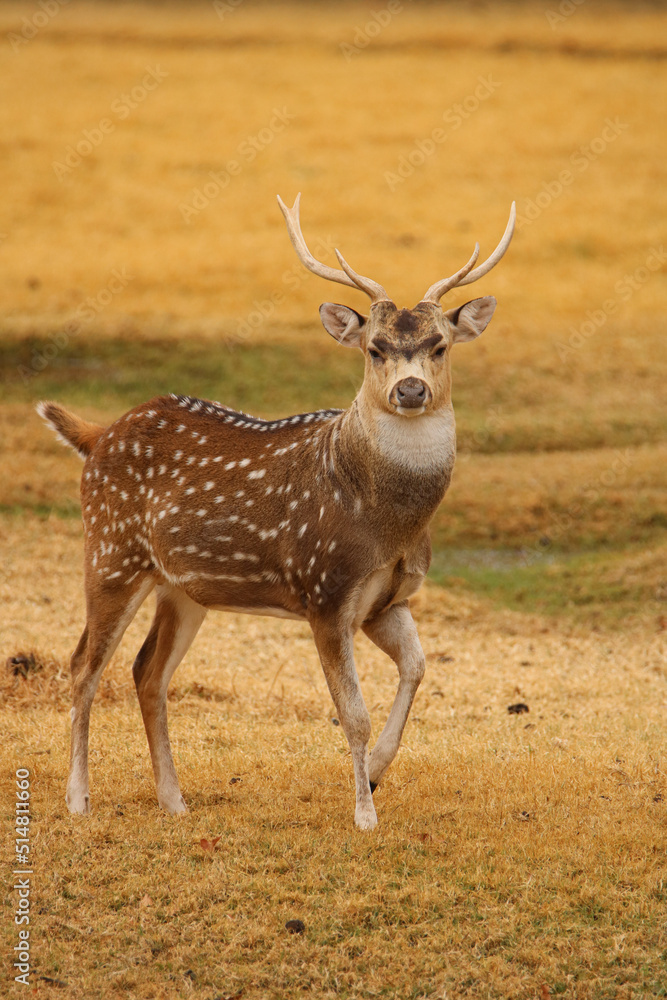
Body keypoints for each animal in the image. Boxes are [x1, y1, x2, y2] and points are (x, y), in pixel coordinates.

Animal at [38, 194, 514, 830]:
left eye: (440, 345)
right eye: (375, 349)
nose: (410, 391)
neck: (387, 523)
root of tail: (95, 436)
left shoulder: (386, 600)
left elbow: (418, 668)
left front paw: (378, 771)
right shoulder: (325, 588)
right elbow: (353, 713)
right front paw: (364, 814)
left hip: (183, 587)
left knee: (146, 671)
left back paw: (174, 800)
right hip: (112, 553)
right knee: (83, 665)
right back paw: (79, 799)